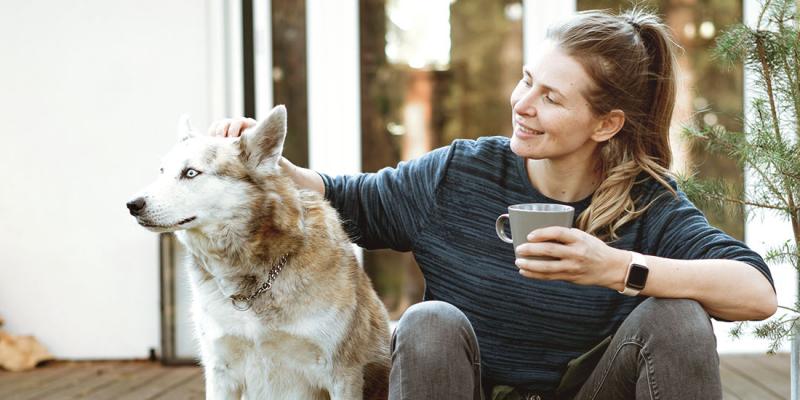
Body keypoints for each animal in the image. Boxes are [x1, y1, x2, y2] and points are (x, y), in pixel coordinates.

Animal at [126, 104, 392, 398]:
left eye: (191, 173)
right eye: (161, 171)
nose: (132, 204)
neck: (253, 281)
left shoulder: (342, 374)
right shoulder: (220, 370)